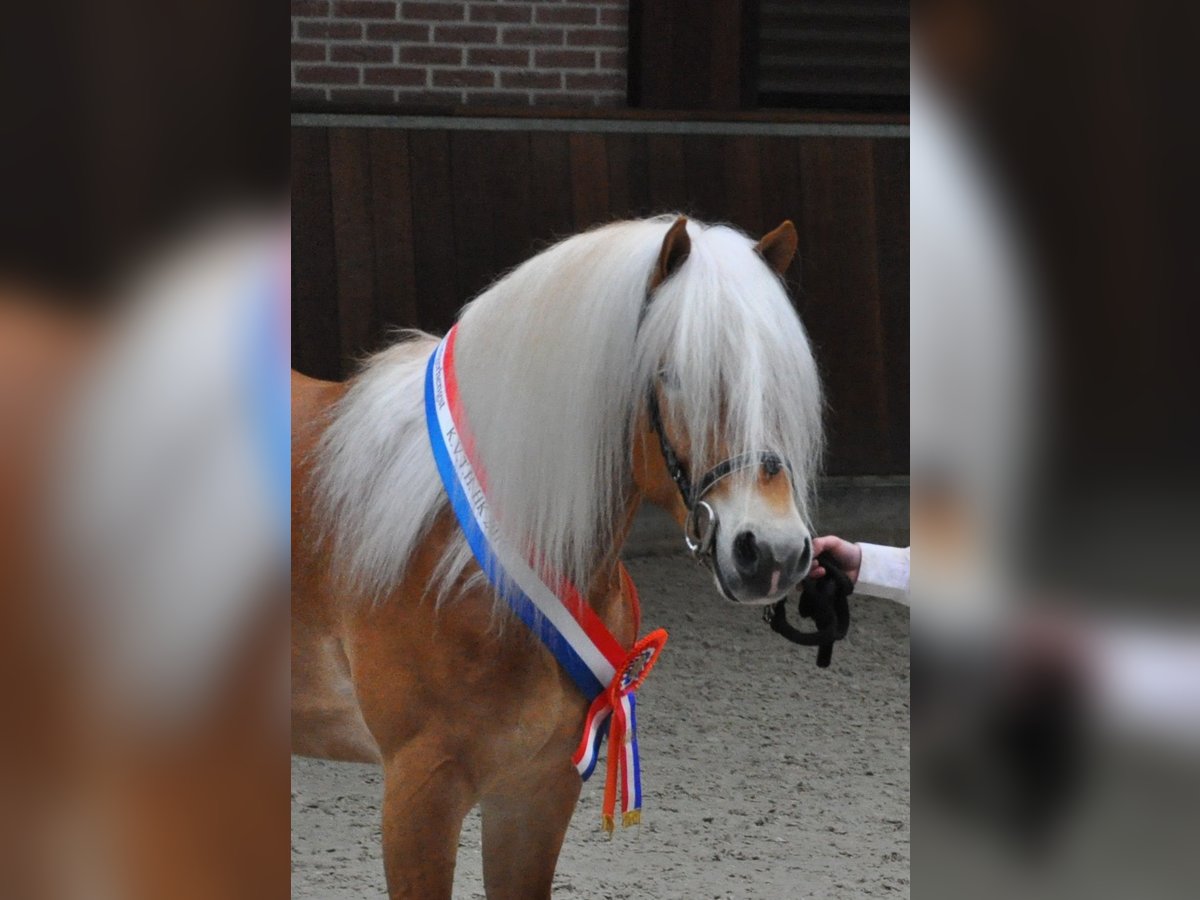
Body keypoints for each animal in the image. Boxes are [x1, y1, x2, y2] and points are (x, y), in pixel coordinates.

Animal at [290, 214, 825, 897]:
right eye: (673, 375)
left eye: (783, 378)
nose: (771, 552)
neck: (474, 562)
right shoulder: (420, 790)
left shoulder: (536, 791)